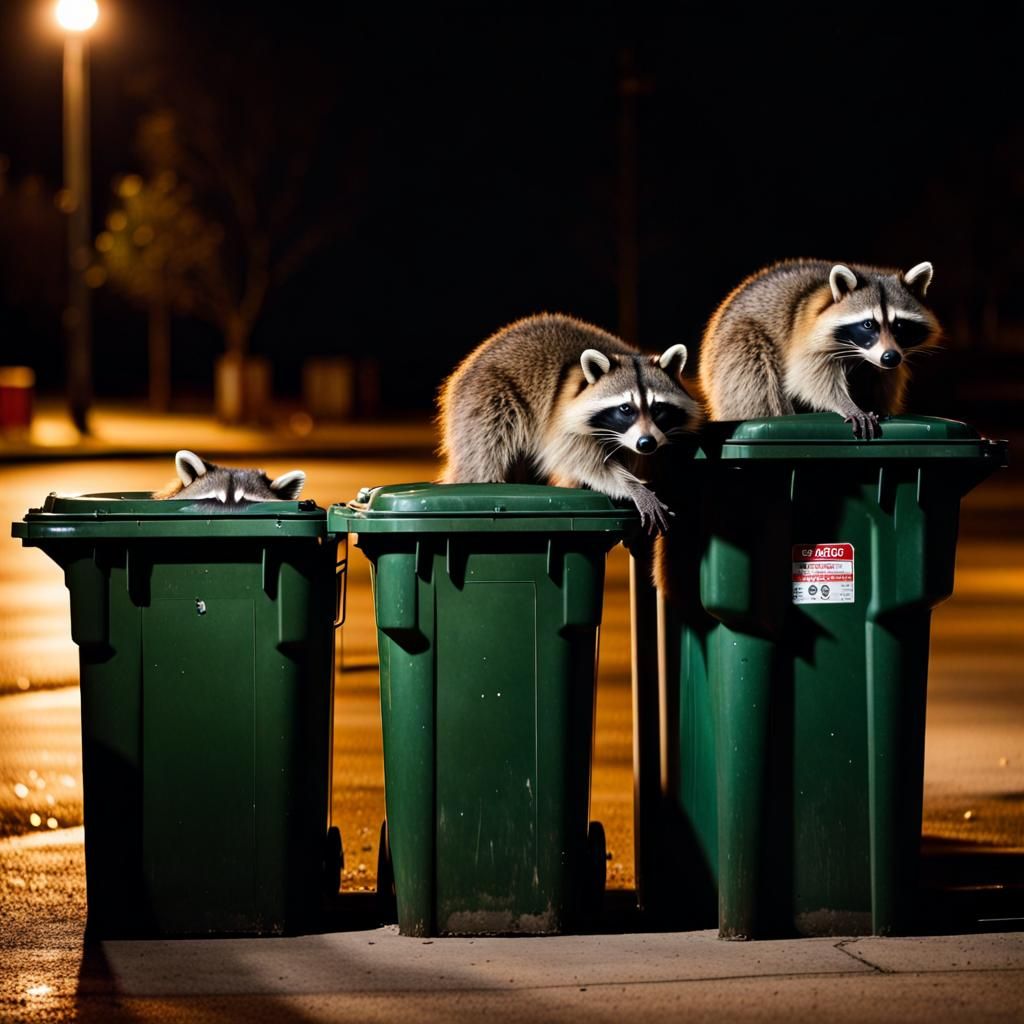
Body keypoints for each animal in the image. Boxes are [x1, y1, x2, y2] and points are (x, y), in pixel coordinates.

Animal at [437, 313, 702, 533]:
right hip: (486, 399)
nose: (646, 443)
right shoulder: (561, 422)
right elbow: (585, 462)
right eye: (626, 409)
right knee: (486, 447)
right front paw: (632, 486)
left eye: (658, 409)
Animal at [698, 260, 941, 438]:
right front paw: (846, 404)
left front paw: (876, 405)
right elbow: (809, 380)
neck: (857, 354)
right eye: (868, 324)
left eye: (899, 325)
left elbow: (883, 378)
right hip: (735, 346)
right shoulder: (806, 340)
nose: (890, 357)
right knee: (755, 378)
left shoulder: (881, 360)